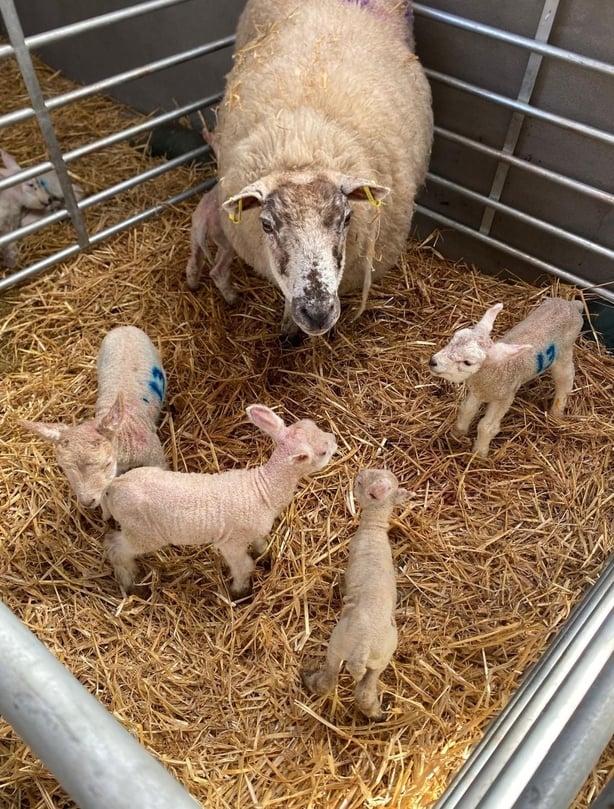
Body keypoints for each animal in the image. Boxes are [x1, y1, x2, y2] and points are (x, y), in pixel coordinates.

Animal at [100, 404, 337, 597]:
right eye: (323, 452)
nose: (335, 439)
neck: (264, 489)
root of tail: (114, 486)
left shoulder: (256, 530)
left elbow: (260, 544)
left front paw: (264, 556)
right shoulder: (232, 542)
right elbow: (244, 566)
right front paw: (240, 591)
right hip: (142, 532)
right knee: (115, 547)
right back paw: (130, 582)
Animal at [301, 468, 407, 721]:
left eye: (359, 483)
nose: (360, 472)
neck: (374, 528)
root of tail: (364, 647)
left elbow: (344, 583)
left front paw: (339, 589)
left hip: (338, 645)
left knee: (329, 680)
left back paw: (308, 679)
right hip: (381, 658)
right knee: (365, 692)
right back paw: (377, 714)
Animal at [428, 298, 585, 458]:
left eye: (468, 362)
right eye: (453, 338)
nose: (433, 362)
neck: (496, 369)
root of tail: (572, 304)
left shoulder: (504, 397)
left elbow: (486, 426)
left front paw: (479, 454)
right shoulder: (478, 391)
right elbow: (467, 409)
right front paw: (456, 435)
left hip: (564, 352)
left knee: (565, 379)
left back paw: (556, 413)